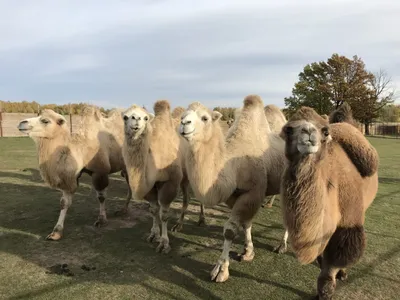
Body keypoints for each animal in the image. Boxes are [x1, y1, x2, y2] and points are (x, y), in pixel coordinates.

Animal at [17, 106, 130, 240]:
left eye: (45, 120)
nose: (21, 123)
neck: (82, 149)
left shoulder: (99, 172)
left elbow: (101, 197)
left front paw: (102, 220)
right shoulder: (70, 176)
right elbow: (64, 202)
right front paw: (56, 232)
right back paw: (123, 210)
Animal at [121, 101, 200, 253]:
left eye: (146, 118)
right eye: (125, 117)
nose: (136, 119)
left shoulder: (170, 182)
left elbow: (164, 214)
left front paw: (164, 243)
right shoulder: (151, 186)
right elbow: (153, 210)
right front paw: (153, 235)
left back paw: (198, 220)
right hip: (184, 179)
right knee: (187, 197)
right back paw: (178, 225)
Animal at [180, 95, 286, 282]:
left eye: (205, 118)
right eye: (183, 115)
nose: (184, 123)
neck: (234, 165)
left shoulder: (254, 192)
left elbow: (229, 231)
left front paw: (220, 270)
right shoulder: (234, 196)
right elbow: (246, 224)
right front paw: (248, 252)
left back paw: (282, 246)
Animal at [278, 106, 378, 300]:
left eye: (325, 131)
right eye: (288, 129)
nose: (308, 132)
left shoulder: (349, 221)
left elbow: (335, 260)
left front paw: (326, 290)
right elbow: (323, 254)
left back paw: (343, 273)